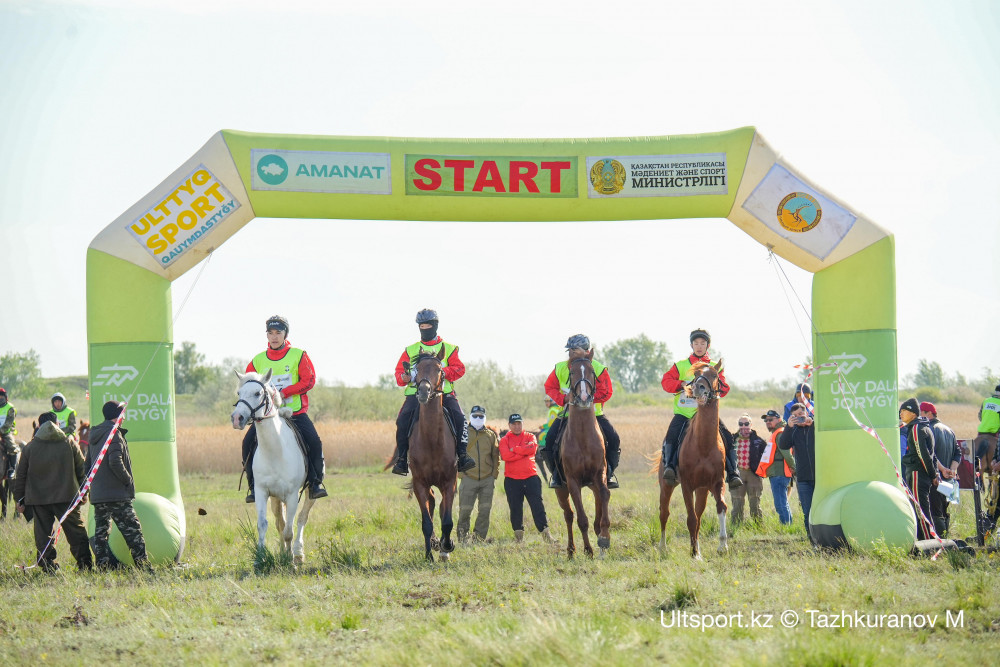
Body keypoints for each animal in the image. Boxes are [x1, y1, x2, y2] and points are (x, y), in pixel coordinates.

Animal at [231, 370, 316, 564]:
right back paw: (283, 552)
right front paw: (260, 559)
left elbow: (289, 530)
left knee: (302, 519)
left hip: (308, 491)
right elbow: (264, 525)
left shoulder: (292, 495)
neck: (275, 451)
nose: (237, 418)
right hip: (276, 498)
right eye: (239, 393)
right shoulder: (262, 492)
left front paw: (290, 560)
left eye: (257, 393)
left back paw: (298, 553)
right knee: (280, 523)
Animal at [556, 352, 608, 560]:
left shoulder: (600, 474)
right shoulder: (572, 482)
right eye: (571, 372)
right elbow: (582, 519)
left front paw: (604, 538)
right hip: (561, 489)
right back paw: (571, 551)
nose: (585, 397)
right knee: (569, 516)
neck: (584, 438)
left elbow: (605, 495)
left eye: (593, 371)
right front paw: (588, 550)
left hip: (592, 485)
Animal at [660, 360, 732, 560]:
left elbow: (721, 507)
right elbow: (690, 519)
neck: (703, 445)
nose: (698, 388)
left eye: (715, 375)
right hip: (667, 484)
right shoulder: (686, 485)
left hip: (702, 490)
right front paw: (693, 553)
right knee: (664, 513)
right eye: (697, 374)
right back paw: (663, 548)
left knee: (699, 516)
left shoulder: (716, 482)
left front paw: (722, 546)